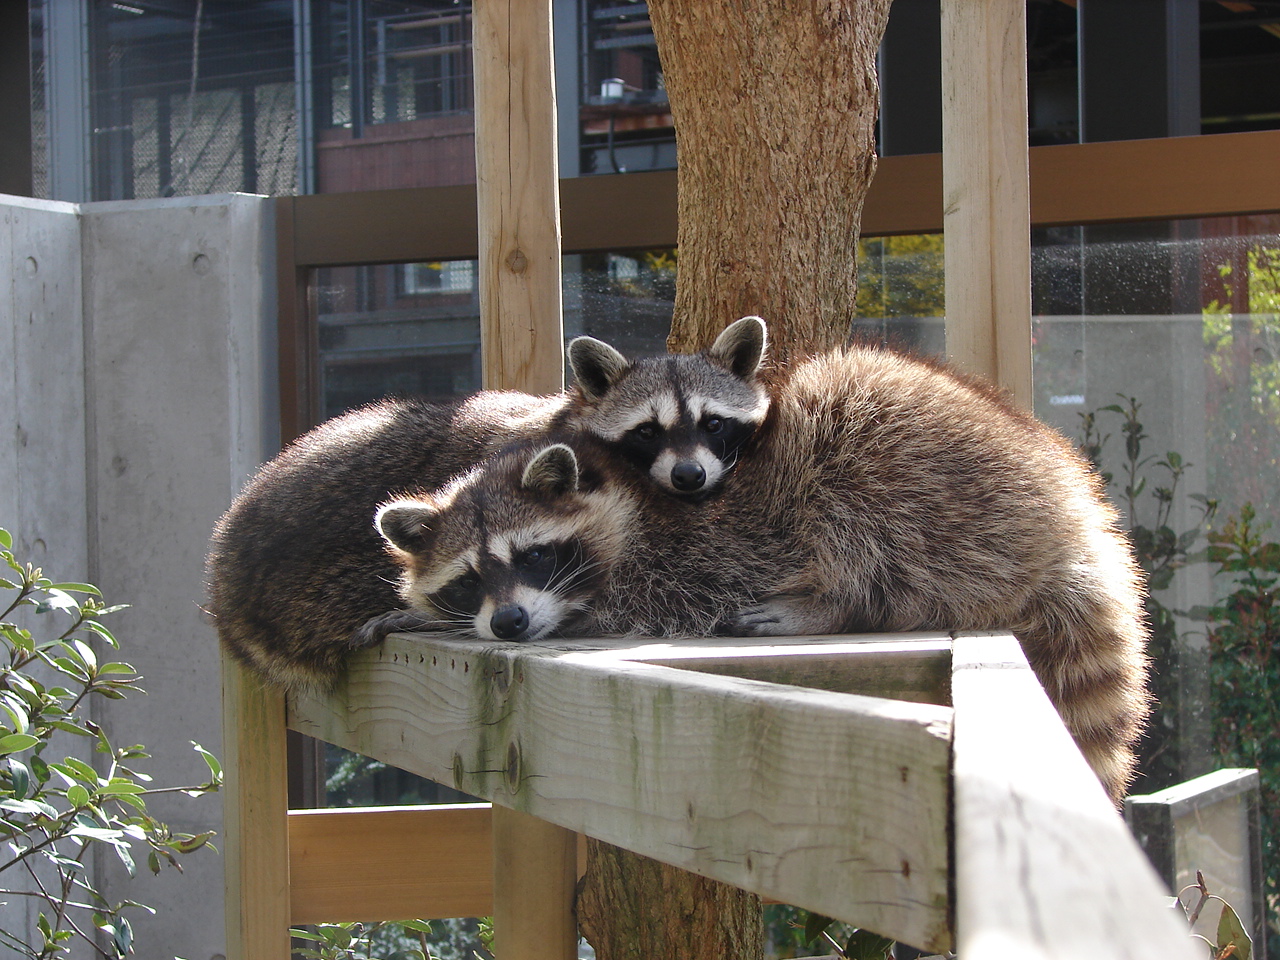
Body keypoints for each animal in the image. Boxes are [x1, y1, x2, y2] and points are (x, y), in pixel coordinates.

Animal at [376, 337, 1152, 803]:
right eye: (469, 580)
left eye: (535, 555)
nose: (508, 621)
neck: (618, 490)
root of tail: (1075, 517)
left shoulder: (694, 552)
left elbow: (653, 596)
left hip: (935, 481)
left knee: (862, 499)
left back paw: (840, 602)